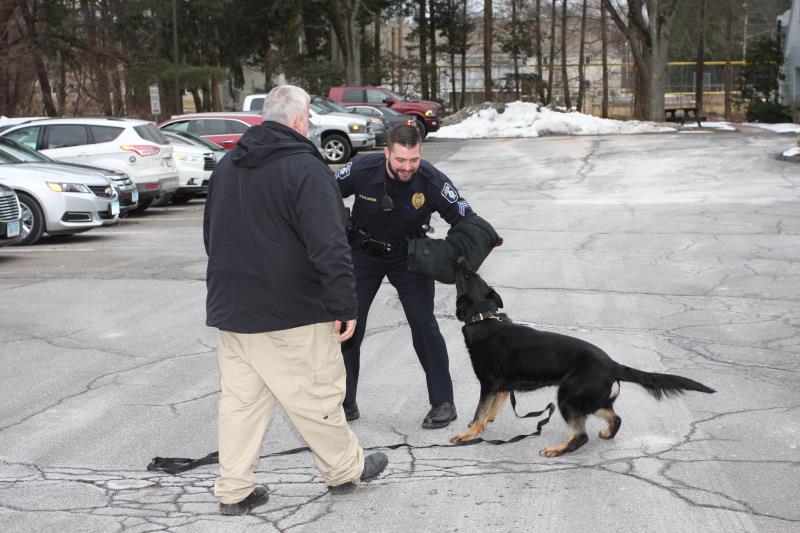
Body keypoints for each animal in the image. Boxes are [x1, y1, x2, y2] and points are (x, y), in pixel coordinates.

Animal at [454, 256, 716, 456]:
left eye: (466, 277)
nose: (462, 259)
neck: (483, 317)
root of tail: (612, 364)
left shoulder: (489, 385)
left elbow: (480, 412)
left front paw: (467, 435)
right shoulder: (502, 388)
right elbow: (490, 411)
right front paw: (481, 427)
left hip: (567, 398)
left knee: (580, 436)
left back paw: (557, 450)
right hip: (589, 400)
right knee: (615, 418)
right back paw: (607, 433)